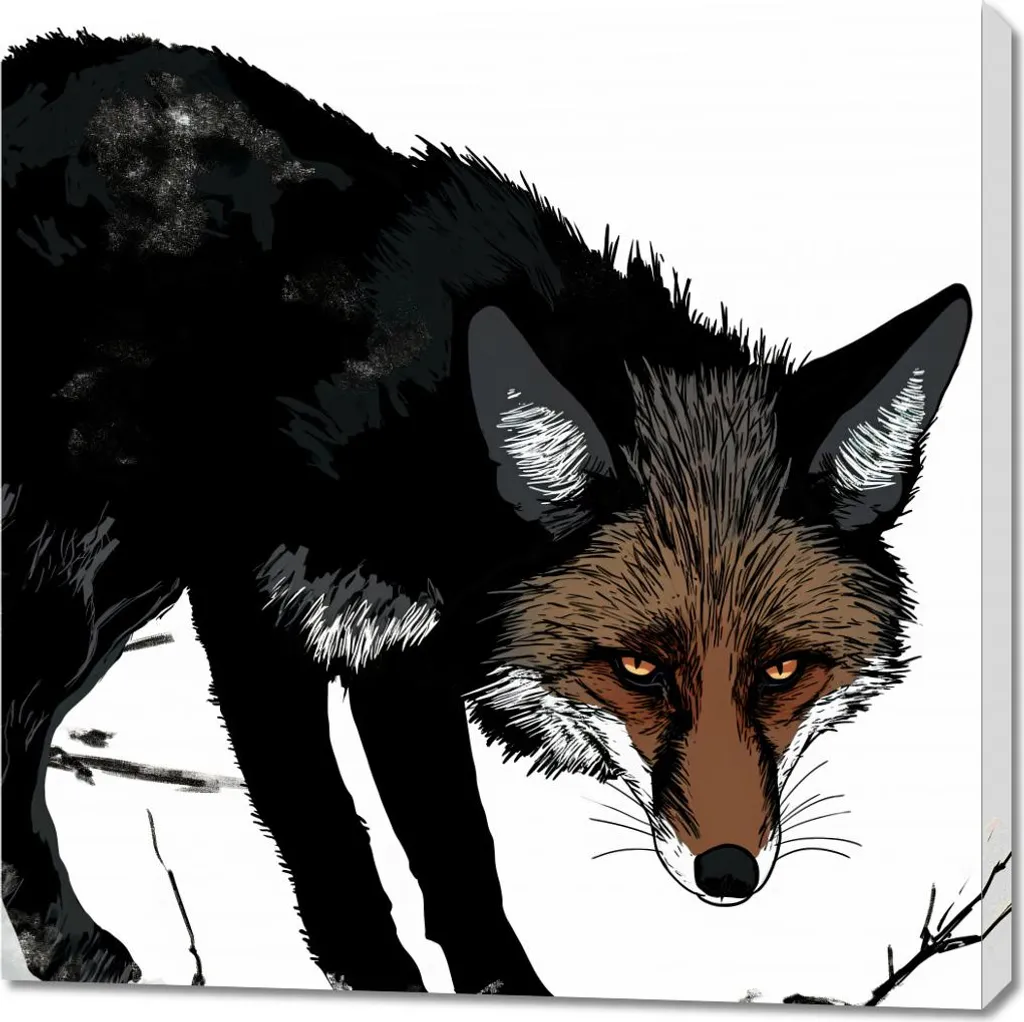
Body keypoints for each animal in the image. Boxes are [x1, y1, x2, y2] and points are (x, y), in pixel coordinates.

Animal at [2, 30, 971, 996]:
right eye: (636, 668)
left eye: (780, 671)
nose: (729, 874)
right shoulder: (254, 612)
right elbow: (327, 831)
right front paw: (377, 977)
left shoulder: (394, 647)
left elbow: (455, 850)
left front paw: (503, 988)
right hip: (84, 584)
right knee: (15, 735)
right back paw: (67, 942)